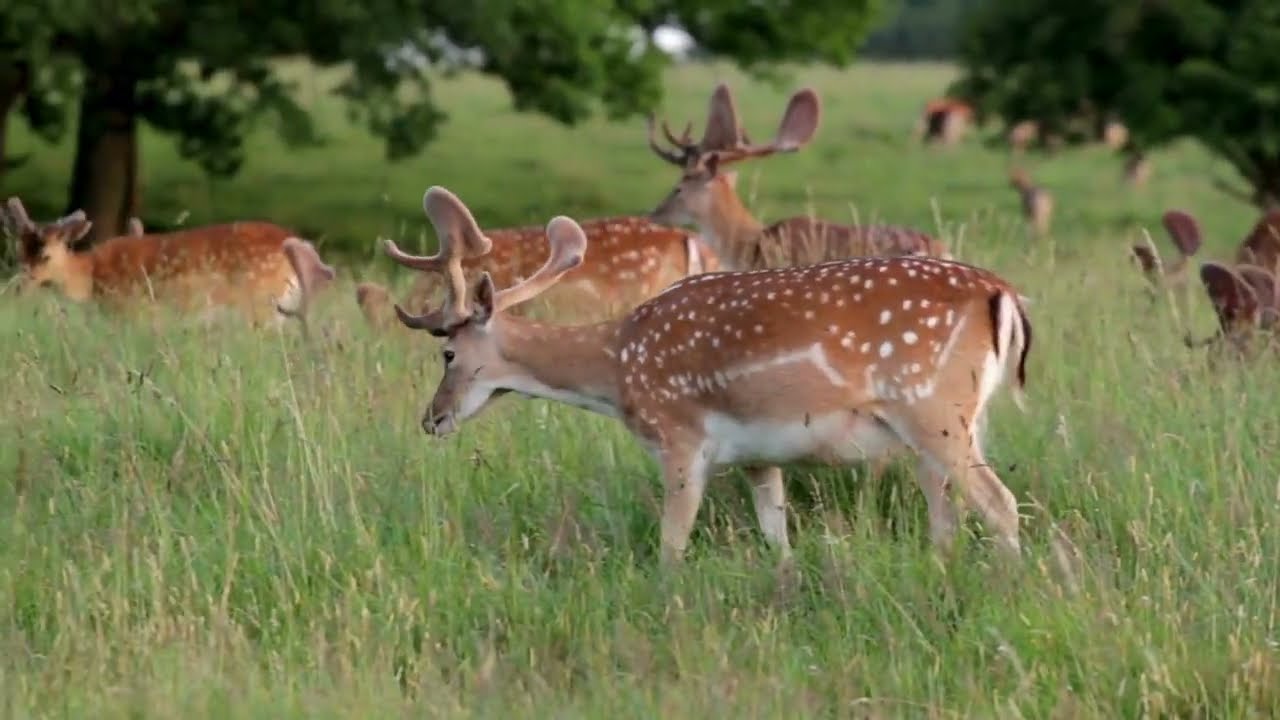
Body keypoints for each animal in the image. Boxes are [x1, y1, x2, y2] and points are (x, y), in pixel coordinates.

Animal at [3, 196, 336, 328]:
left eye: (46, 255)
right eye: (19, 253)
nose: (17, 289)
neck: (91, 277)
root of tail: (299, 244)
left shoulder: (133, 311)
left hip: (261, 304)